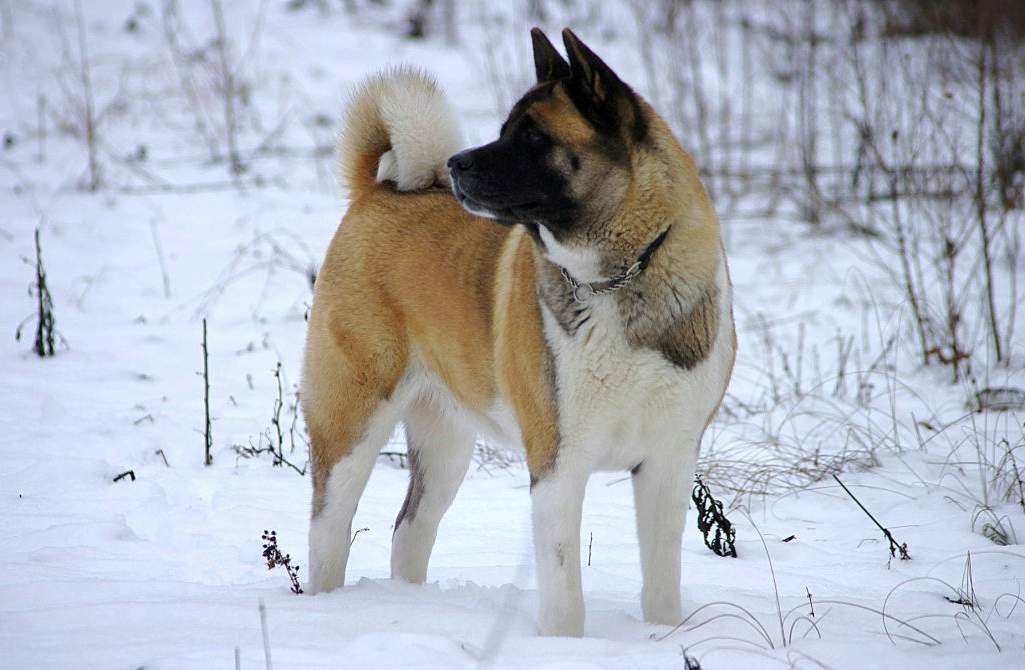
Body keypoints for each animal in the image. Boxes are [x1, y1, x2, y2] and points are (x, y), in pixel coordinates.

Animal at [303, 26, 738, 639]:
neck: (620, 278)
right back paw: (324, 608)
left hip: (446, 443)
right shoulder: (558, 463)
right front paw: (563, 645)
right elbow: (563, 593)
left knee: (410, 528)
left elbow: (661, 580)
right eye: (507, 128)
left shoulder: (669, 462)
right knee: (329, 529)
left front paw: (662, 636)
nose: (457, 163)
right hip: (353, 420)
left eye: (533, 136)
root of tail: (380, 191)